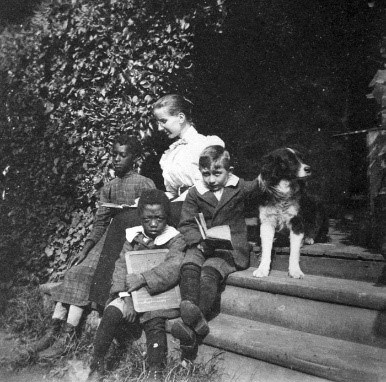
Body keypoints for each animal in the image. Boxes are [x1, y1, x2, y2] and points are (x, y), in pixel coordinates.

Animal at [253, 148, 328, 280]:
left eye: (301, 158)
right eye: (290, 160)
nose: (309, 168)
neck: (283, 193)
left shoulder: (297, 222)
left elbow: (294, 251)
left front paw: (295, 271)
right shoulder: (267, 221)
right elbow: (266, 248)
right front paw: (262, 269)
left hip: (318, 206)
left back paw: (308, 238)